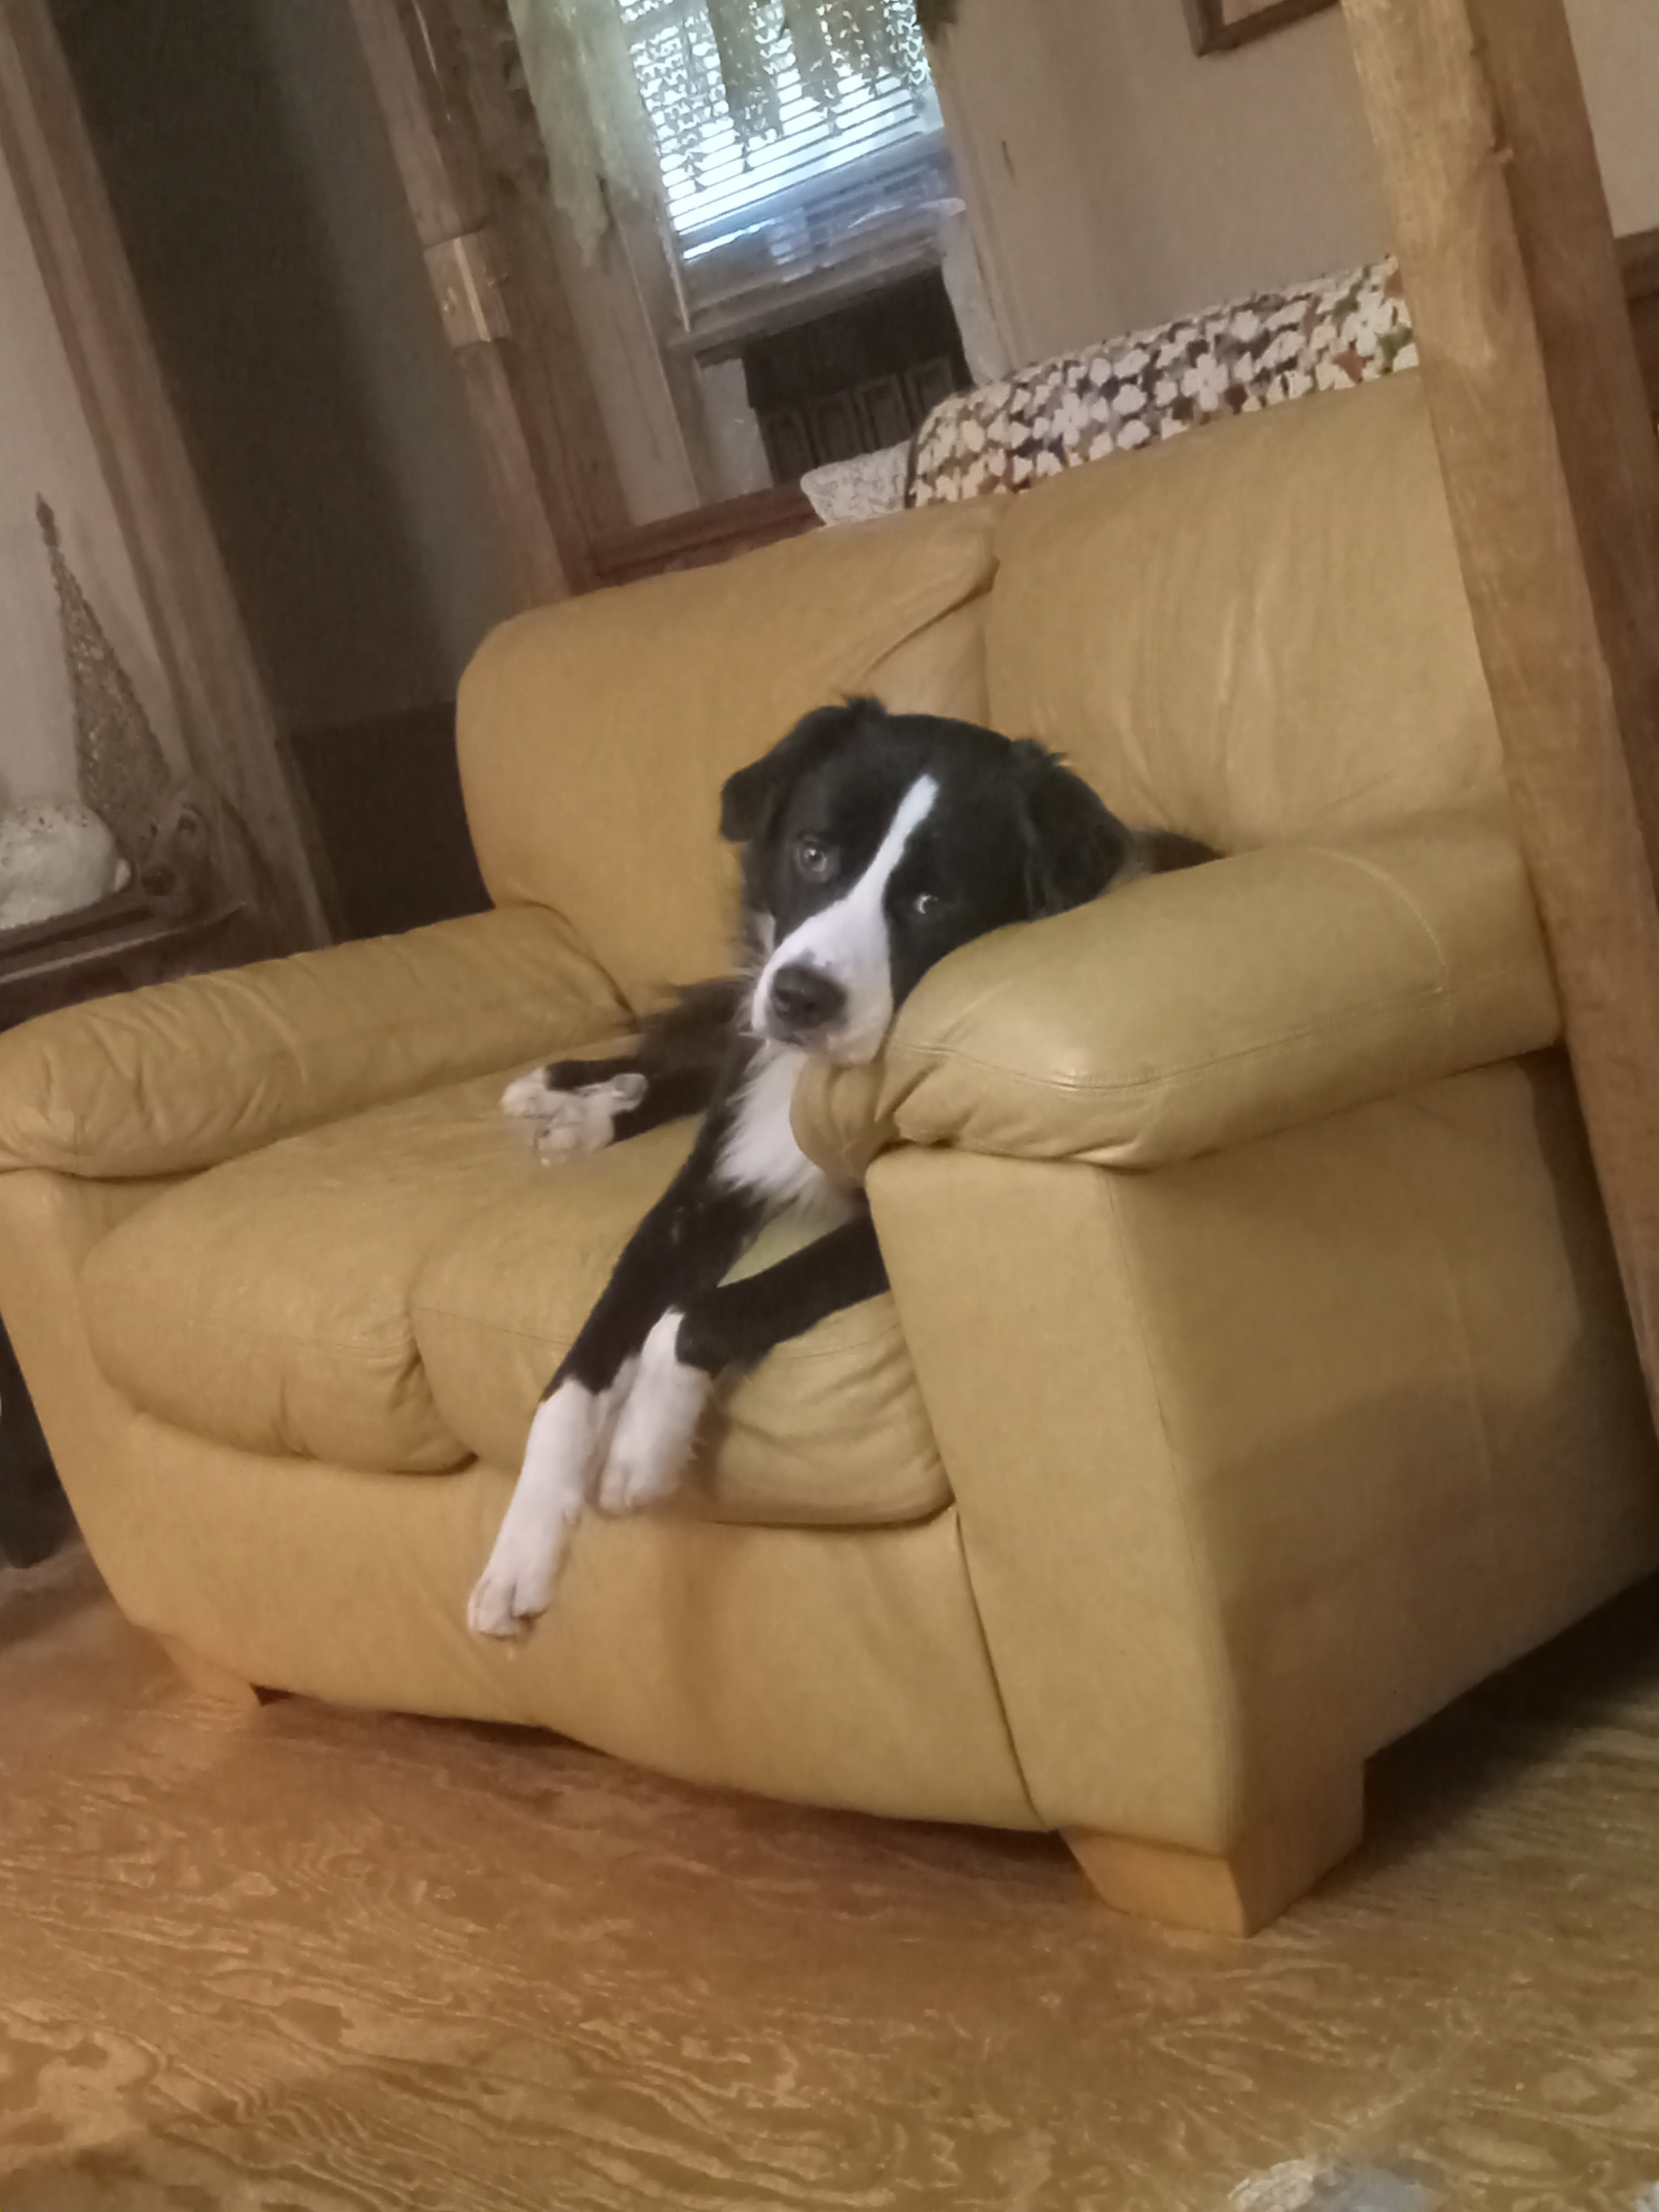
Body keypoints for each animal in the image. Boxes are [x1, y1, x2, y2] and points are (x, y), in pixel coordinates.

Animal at [468, 699, 1212, 1637]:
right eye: (813, 851)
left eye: (932, 901)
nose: (799, 999)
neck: (814, 1083)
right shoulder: (704, 1183)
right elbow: (576, 1371)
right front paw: (520, 1553)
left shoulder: (883, 1238)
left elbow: (697, 1314)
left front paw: (642, 1445)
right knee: (690, 1053)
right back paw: (570, 1098)